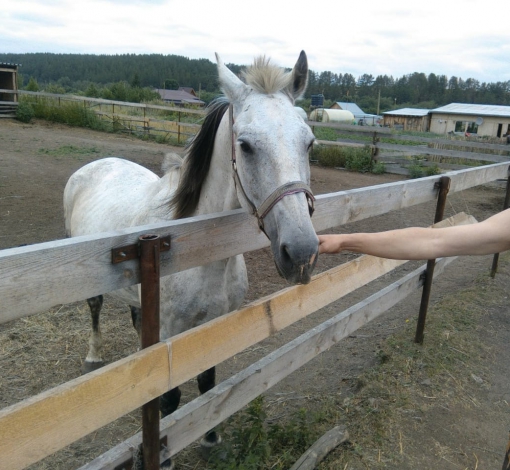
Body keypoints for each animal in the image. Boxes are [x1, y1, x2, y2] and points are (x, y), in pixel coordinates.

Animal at [63, 50, 318, 466]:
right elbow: (170, 397)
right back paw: (93, 355)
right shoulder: (171, 330)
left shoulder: (211, 324)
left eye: (309, 143)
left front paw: (211, 437)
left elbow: (207, 381)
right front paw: (165, 455)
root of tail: (95, 165)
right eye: (245, 145)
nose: (300, 253)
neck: (201, 257)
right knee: (95, 306)